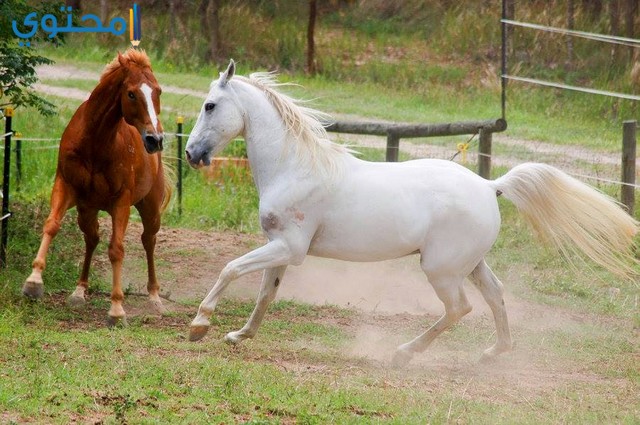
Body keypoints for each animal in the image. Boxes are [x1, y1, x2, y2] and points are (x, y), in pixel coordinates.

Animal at [22, 48, 170, 322]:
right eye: (131, 93)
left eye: (158, 91)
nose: (155, 139)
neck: (95, 142)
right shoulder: (65, 187)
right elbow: (51, 225)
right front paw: (33, 282)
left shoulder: (121, 202)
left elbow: (116, 249)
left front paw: (117, 310)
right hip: (87, 211)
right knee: (92, 239)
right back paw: (79, 291)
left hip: (150, 209)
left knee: (148, 240)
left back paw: (154, 297)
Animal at [182, 59, 636, 364]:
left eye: (209, 105)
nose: (190, 154)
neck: (295, 167)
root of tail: (490, 186)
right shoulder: (280, 248)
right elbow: (264, 294)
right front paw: (239, 335)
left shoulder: (288, 248)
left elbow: (230, 269)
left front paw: (200, 326)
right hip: (469, 264)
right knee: (495, 294)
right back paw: (493, 354)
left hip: (440, 269)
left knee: (460, 308)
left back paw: (403, 353)